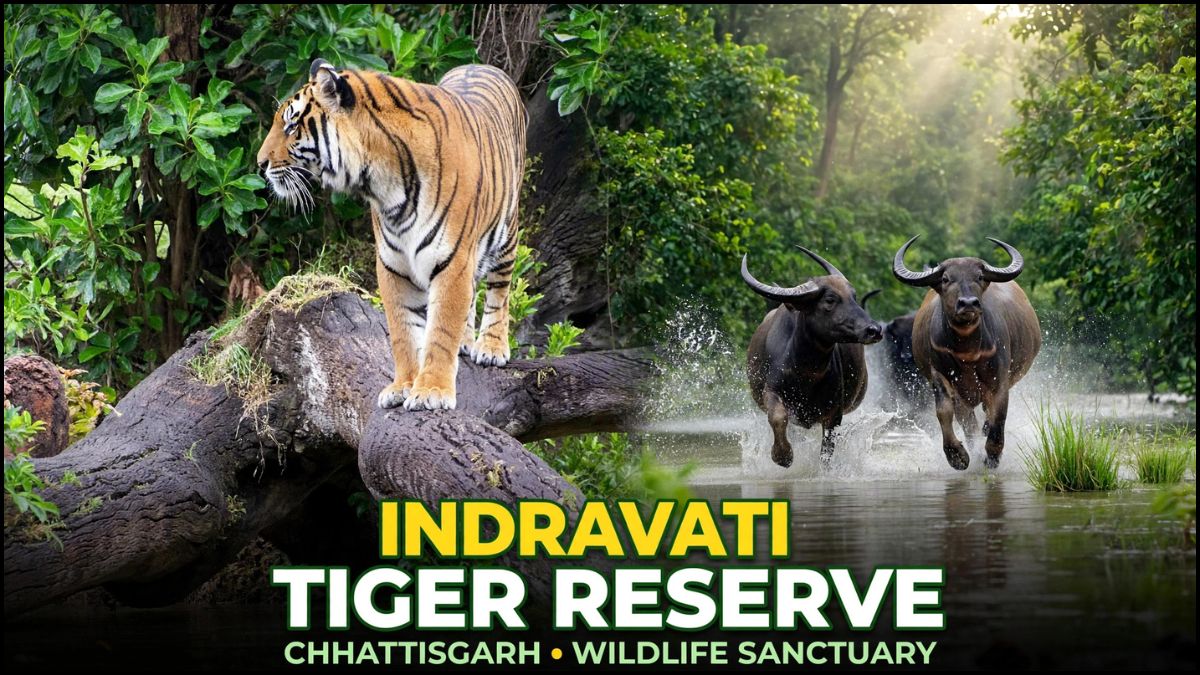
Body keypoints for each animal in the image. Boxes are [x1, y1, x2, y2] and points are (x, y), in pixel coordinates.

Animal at [256, 58, 527, 411]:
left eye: (291, 126)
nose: (259, 164)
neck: (383, 184)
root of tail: (478, 64)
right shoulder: (393, 265)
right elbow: (403, 332)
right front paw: (403, 386)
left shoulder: (453, 261)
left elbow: (441, 329)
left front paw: (431, 391)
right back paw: (466, 343)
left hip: (507, 232)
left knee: (499, 290)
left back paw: (491, 347)